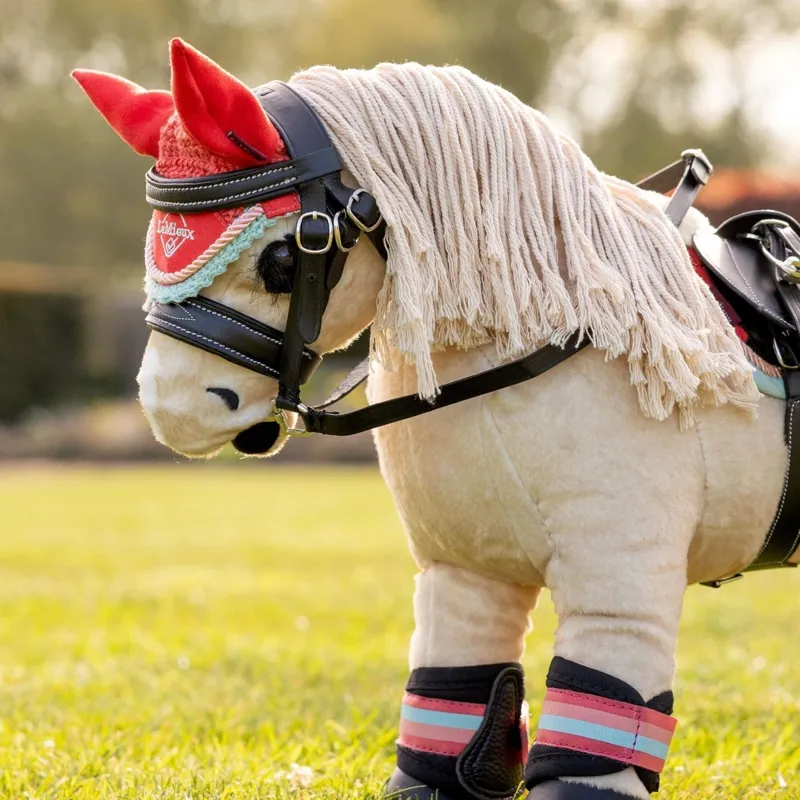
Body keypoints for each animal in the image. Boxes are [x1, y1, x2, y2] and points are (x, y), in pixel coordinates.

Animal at [72, 39, 800, 800]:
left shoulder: (621, 577)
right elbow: (453, 701)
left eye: (283, 256)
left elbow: (595, 724)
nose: (170, 408)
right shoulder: (463, 567)